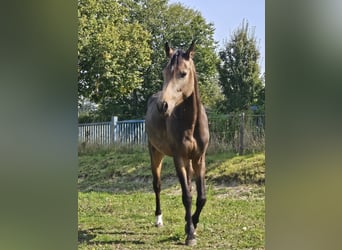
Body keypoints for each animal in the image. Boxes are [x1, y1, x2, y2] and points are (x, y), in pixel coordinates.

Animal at [145, 41, 210, 246]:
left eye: (183, 73)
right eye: (164, 72)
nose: (163, 106)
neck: (191, 122)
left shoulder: (199, 158)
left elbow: (201, 197)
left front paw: (192, 225)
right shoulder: (179, 158)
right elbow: (187, 197)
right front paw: (190, 234)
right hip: (155, 153)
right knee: (157, 185)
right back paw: (158, 219)